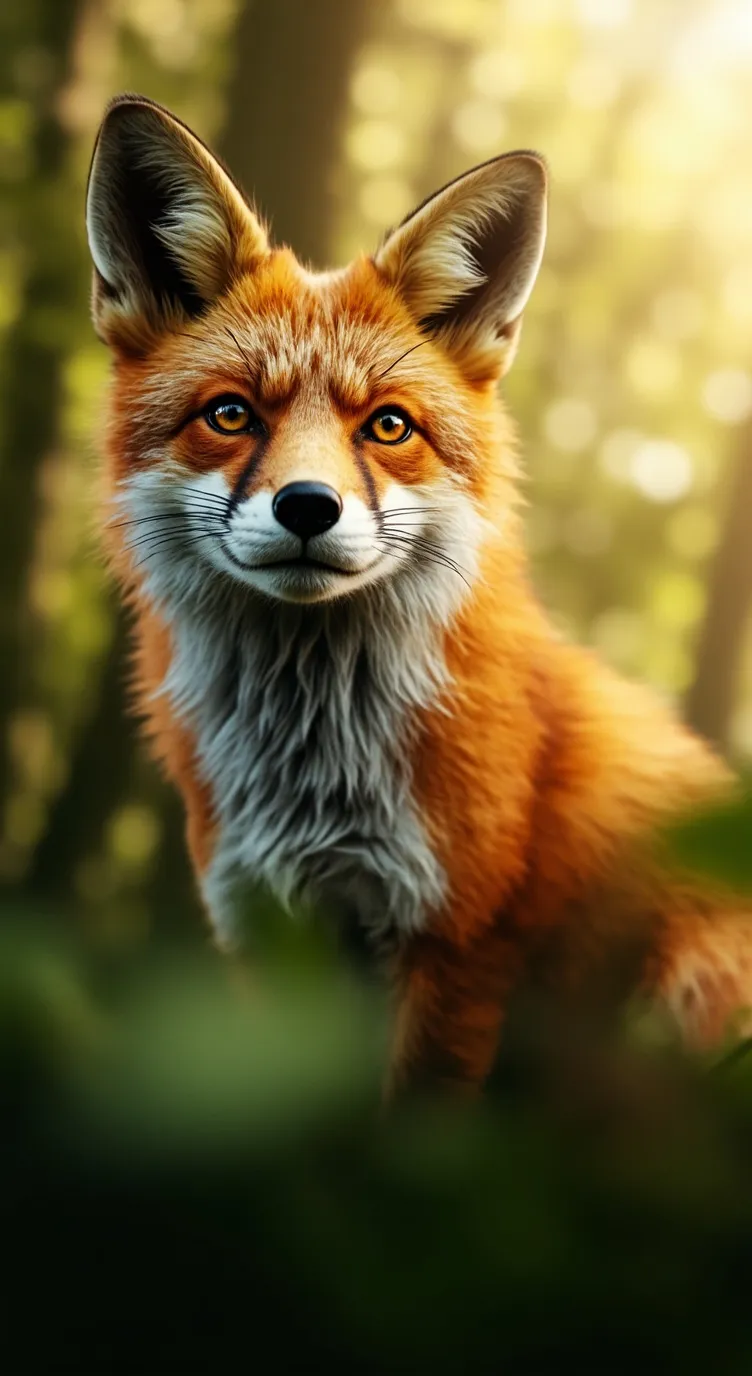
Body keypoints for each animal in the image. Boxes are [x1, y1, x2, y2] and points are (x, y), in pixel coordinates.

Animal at [85, 94, 752, 1095]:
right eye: (231, 414)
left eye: (389, 426)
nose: (308, 506)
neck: (314, 775)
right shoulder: (266, 935)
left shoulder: (456, 943)